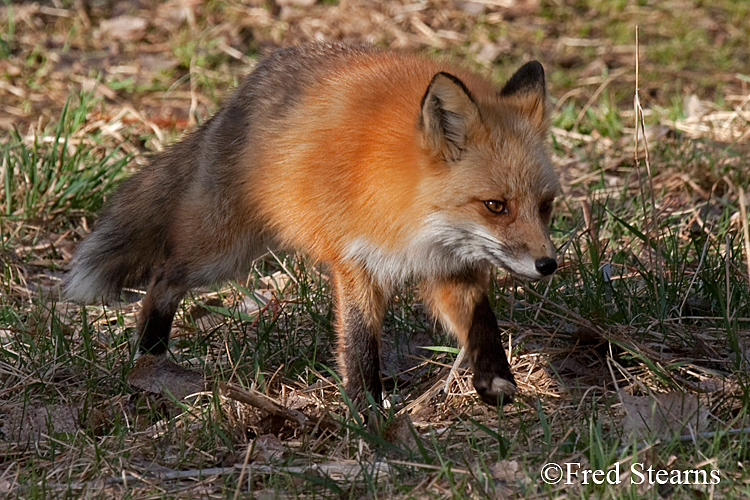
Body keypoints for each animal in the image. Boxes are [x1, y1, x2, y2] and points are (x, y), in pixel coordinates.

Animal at [66, 43, 560, 406]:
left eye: (545, 206)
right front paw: (368, 415)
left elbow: (481, 323)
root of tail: (240, 94)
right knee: (163, 279)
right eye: (496, 206)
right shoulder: (355, 262)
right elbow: (359, 346)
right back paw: (149, 356)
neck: (414, 213)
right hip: (221, 253)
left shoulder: (451, 268)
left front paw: (493, 379)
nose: (548, 265)